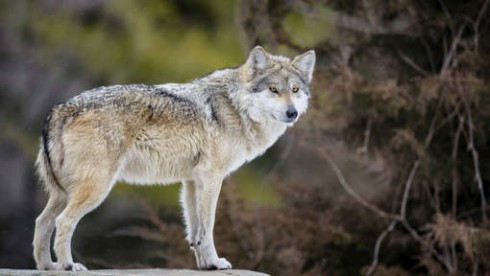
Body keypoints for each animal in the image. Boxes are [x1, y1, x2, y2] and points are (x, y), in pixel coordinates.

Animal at [33, 46, 318, 270]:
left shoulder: (191, 181)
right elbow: (208, 226)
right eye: (273, 89)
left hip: (63, 193)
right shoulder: (211, 179)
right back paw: (68, 266)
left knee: (42, 222)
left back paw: (48, 266)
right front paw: (215, 262)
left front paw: (205, 265)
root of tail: (59, 110)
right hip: (96, 189)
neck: (235, 106)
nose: (292, 113)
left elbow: (195, 231)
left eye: (294, 89)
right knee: (63, 222)